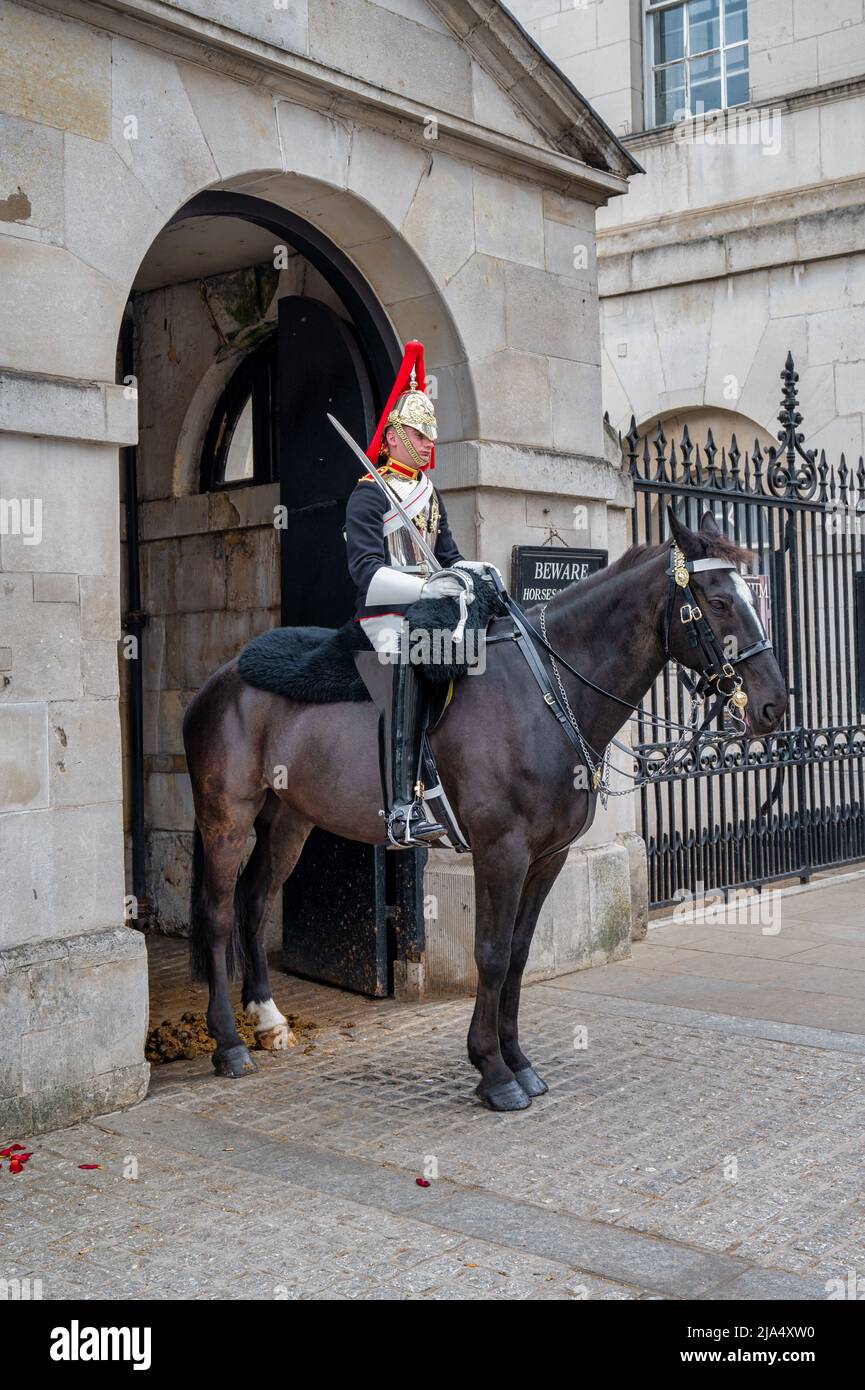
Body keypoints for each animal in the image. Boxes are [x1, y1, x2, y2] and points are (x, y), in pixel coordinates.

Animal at [182, 508, 787, 1111]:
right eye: (718, 601)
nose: (774, 705)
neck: (547, 693)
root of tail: (221, 677)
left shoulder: (548, 856)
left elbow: (518, 953)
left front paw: (519, 1061)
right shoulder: (501, 850)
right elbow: (491, 954)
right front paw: (493, 1072)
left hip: (289, 818)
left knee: (254, 900)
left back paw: (267, 1019)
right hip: (227, 816)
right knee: (217, 913)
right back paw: (229, 1044)